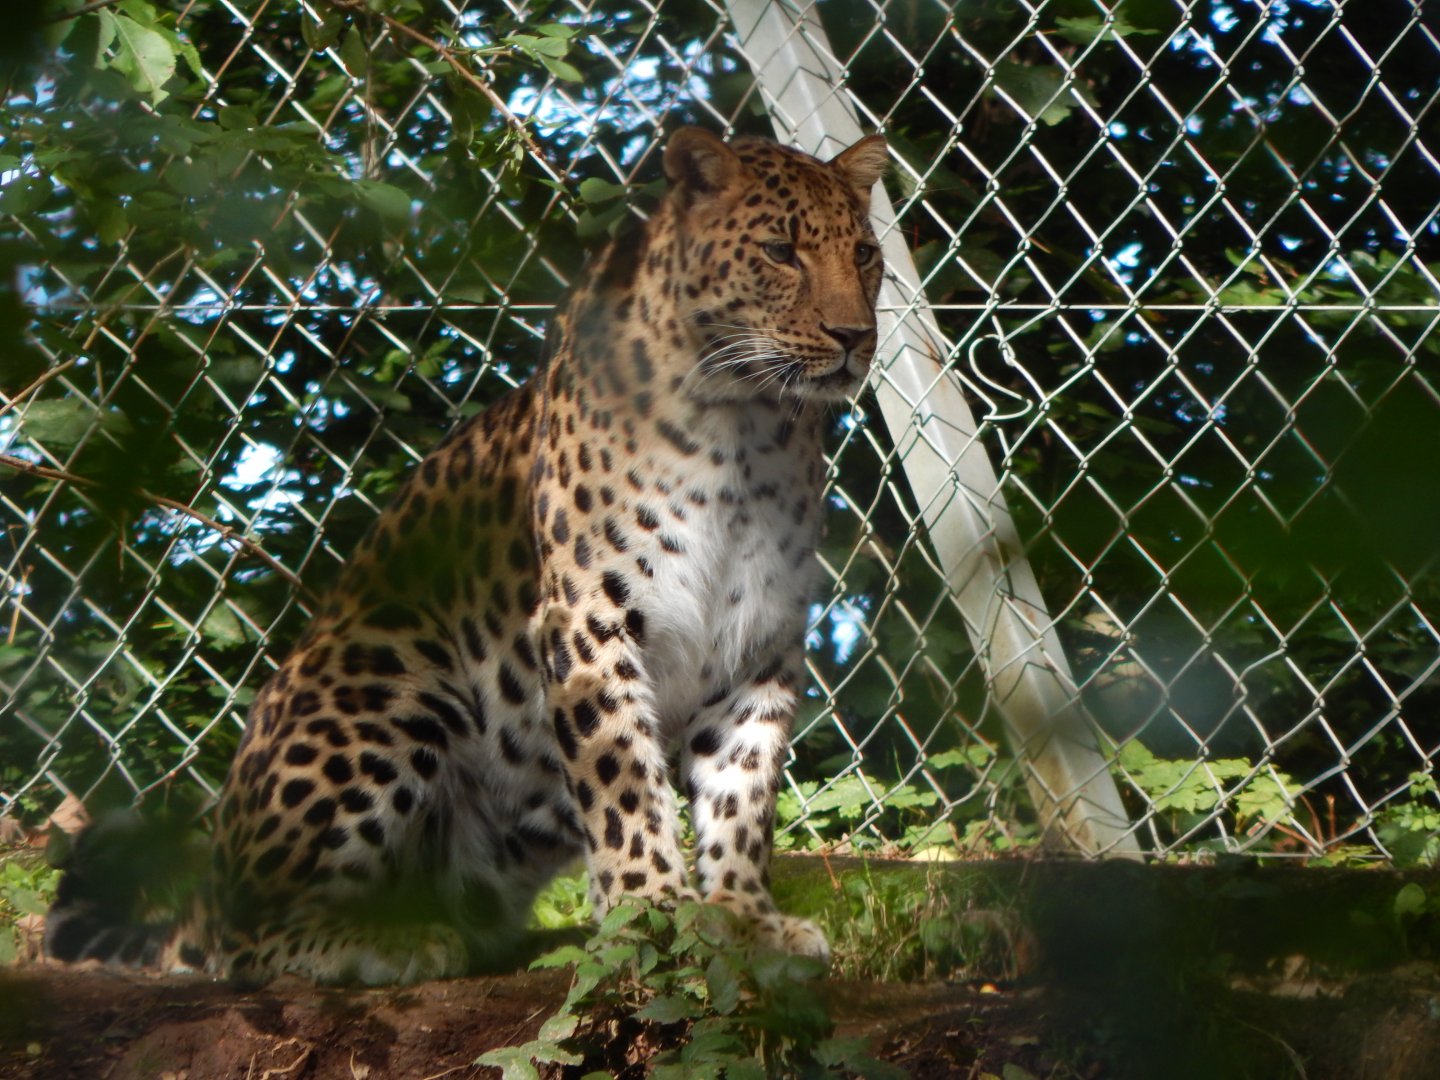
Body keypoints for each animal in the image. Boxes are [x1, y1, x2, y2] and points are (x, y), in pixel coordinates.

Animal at [45, 126, 889, 985]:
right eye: (781, 252)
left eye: (864, 255)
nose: (855, 338)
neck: (749, 426)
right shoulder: (590, 614)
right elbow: (620, 777)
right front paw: (651, 913)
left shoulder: (761, 637)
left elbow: (741, 795)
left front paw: (744, 920)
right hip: (387, 673)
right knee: (241, 940)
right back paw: (389, 944)